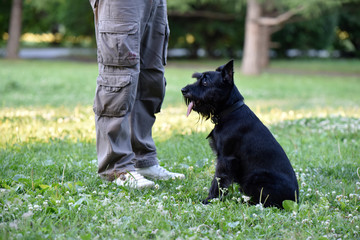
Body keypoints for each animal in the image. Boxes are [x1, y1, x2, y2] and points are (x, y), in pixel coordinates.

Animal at [181, 60, 300, 208]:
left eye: (205, 82)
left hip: (255, 178)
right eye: (198, 78)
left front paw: (210, 199)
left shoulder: (226, 159)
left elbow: (218, 180)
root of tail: (296, 199)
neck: (230, 110)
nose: (183, 90)